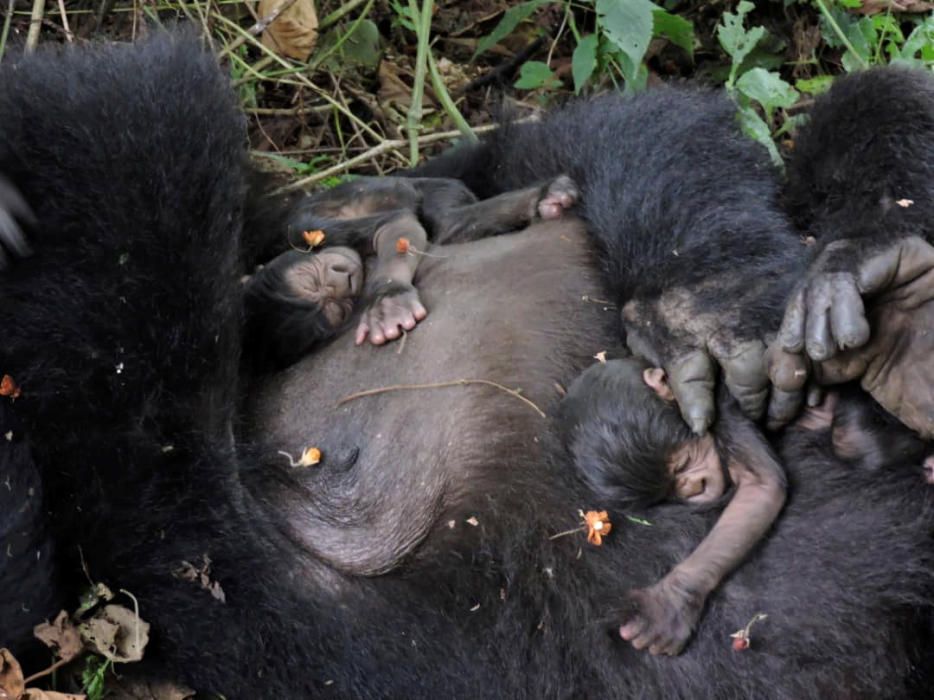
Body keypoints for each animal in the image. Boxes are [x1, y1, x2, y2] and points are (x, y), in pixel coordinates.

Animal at [556, 358, 788, 652]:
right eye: (668, 491)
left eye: (684, 463)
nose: (694, 489)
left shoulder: (720, 407)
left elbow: (760, 485)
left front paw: (672, 601)